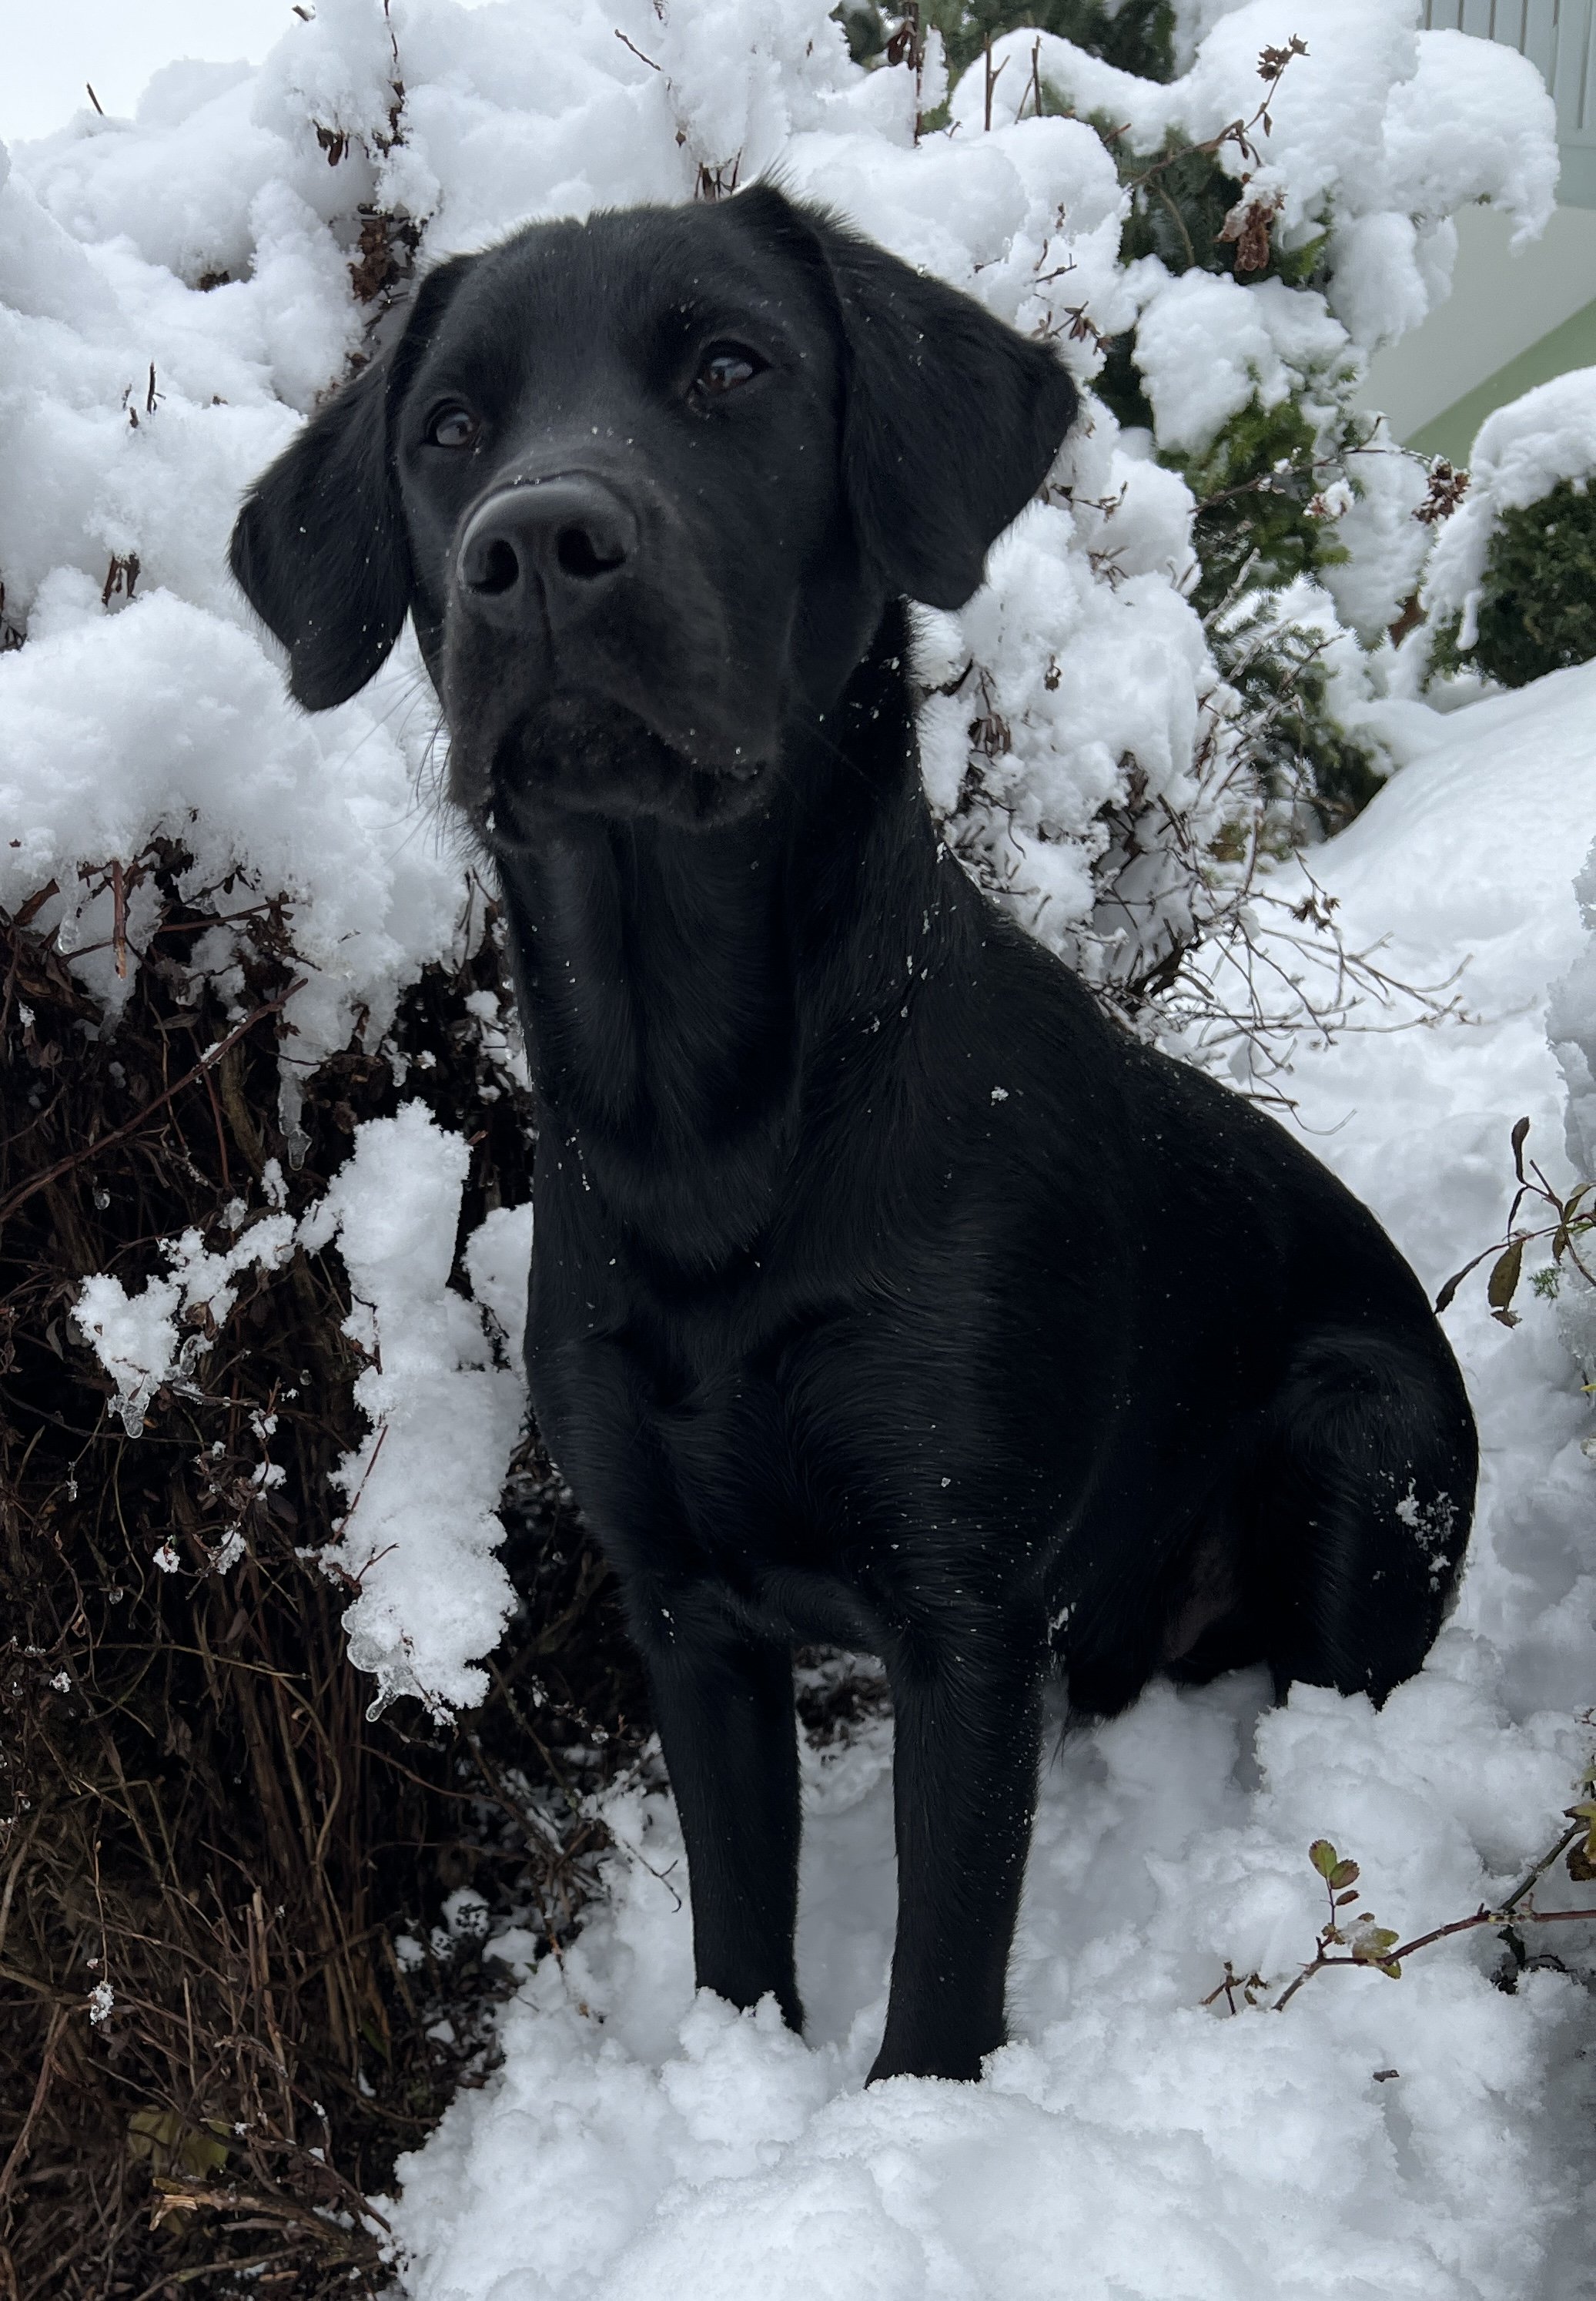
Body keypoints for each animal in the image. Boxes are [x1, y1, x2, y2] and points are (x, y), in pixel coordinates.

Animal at [231, 179, 1481, 2089]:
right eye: (446, 430)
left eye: (729, 368)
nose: (534, 543)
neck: (702, 1116)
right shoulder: (682, 1606)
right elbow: (740, 1935)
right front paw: (739, 2083)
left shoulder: (963, 1615)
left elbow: (942, 1977)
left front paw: (912, 2123)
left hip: (1363, 1441)